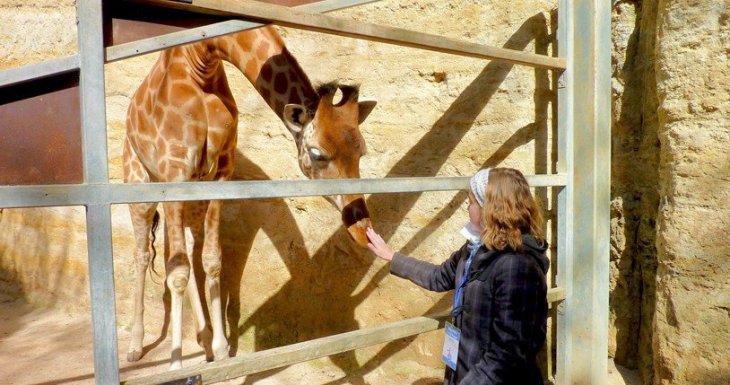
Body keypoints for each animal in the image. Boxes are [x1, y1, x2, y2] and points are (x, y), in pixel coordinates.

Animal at [122, 24, 376, 368]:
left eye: (362, 152)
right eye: (317, 153)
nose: (362, 229)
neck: (201, 60)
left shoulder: (221, 171)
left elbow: (211, 261)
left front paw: (220, 350)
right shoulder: (174, 170)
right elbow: (176, 273)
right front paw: (175, 365)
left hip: (192, 191)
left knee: (185, 248)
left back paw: (203, 340)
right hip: (141, 183)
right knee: (142, 254)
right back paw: (135, 346)